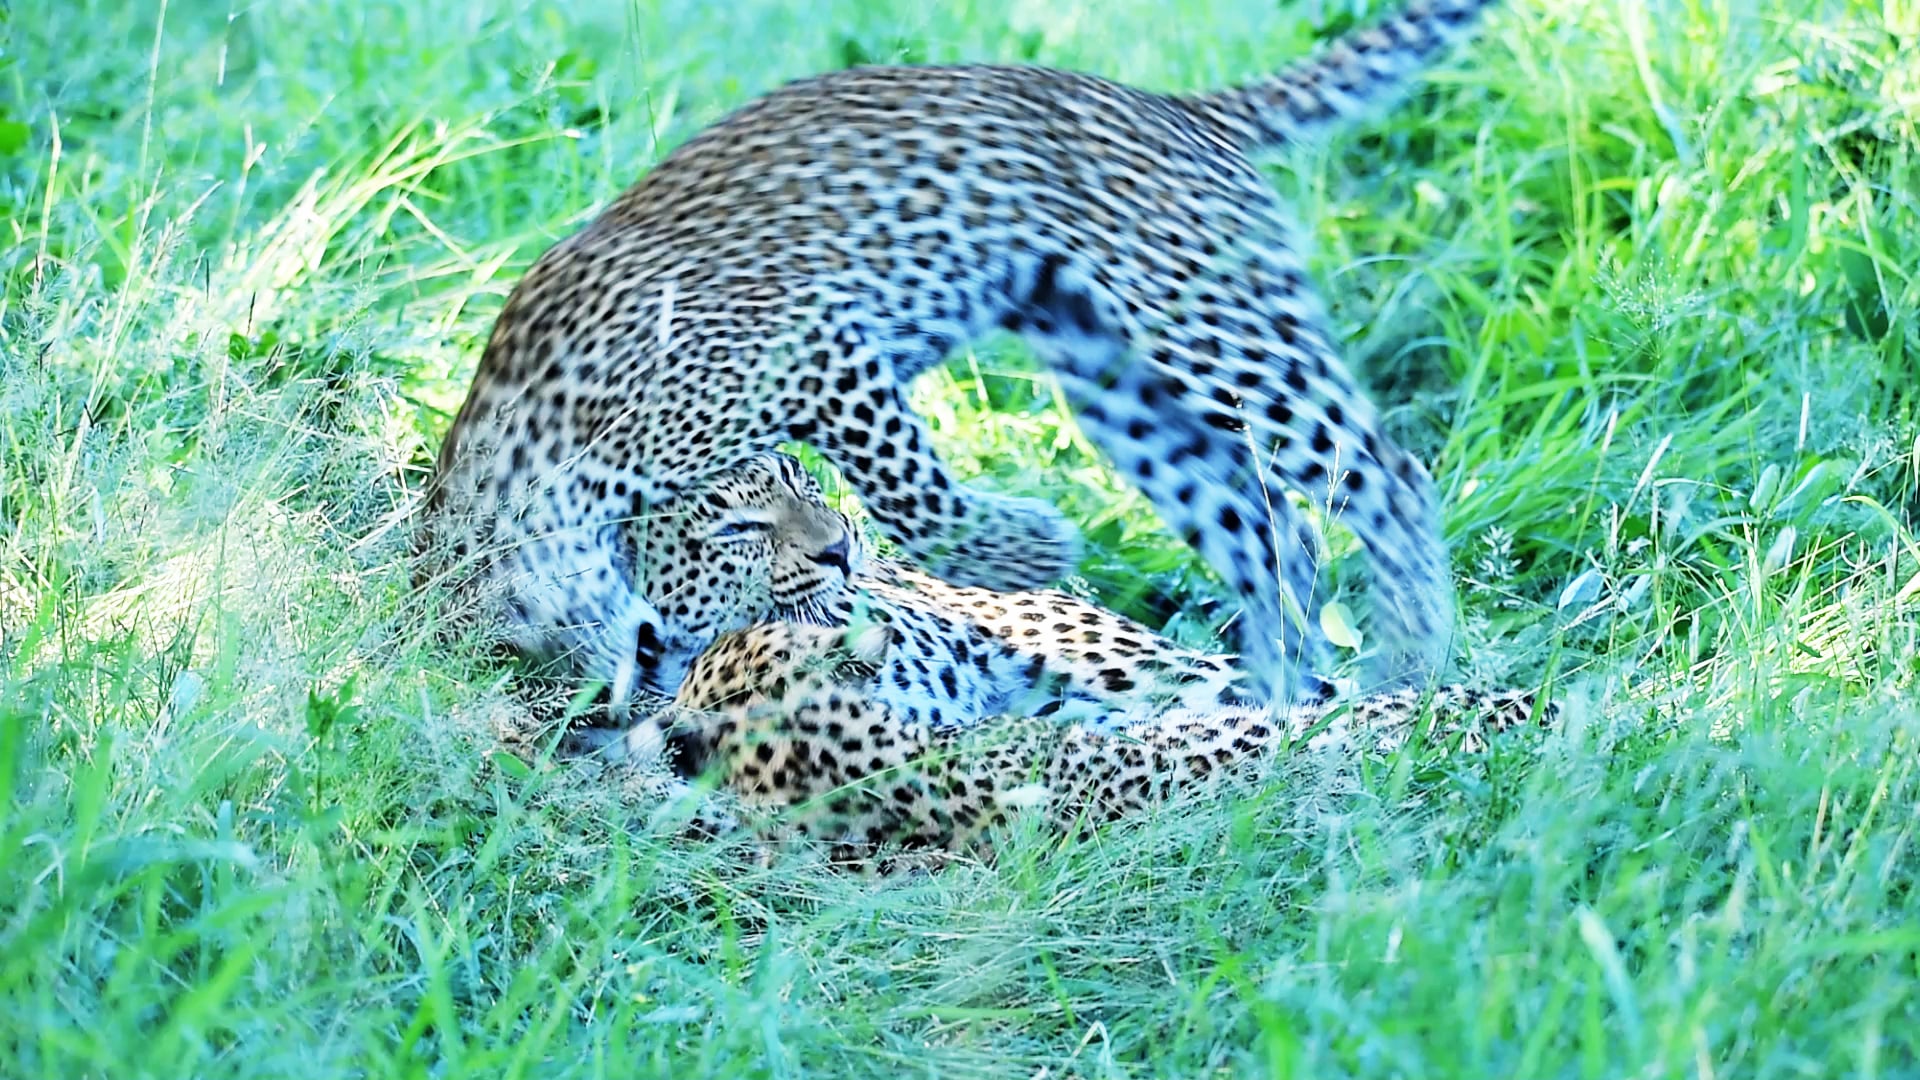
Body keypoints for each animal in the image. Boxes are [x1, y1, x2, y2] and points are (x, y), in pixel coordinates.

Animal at [421, 0, 1504, 713]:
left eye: (790, 487)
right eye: (733, 530)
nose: (840, 552)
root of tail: (1180, 109)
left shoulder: (817, 348)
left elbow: (910, 488)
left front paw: (1027, 550)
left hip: (1208, 323)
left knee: (1386, 476)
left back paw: (1411, 660)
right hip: (1117, 382)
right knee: (1268, 525)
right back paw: (1276, 687)